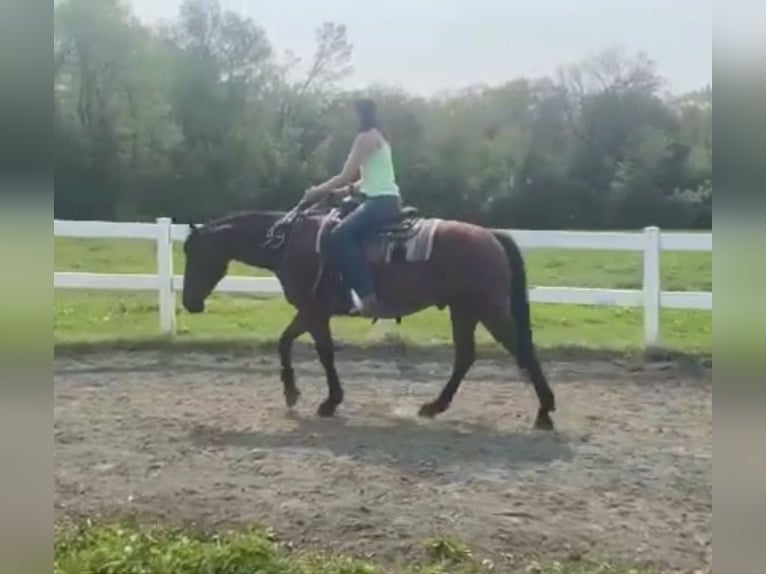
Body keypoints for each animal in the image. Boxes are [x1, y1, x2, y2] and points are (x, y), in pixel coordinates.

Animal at [182, 198, 560, 432]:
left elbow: (311, 349)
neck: (288, 242)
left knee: (522, 350)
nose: (189, 303)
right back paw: (434, 406)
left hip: (488, 310)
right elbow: (295, 344)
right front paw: (305, 395)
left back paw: (544, 412)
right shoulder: (313, 313)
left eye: (195, 254)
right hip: (463, 311)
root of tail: (491, 235)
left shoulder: (313, 311)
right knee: (465, 356)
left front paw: (320, 399)